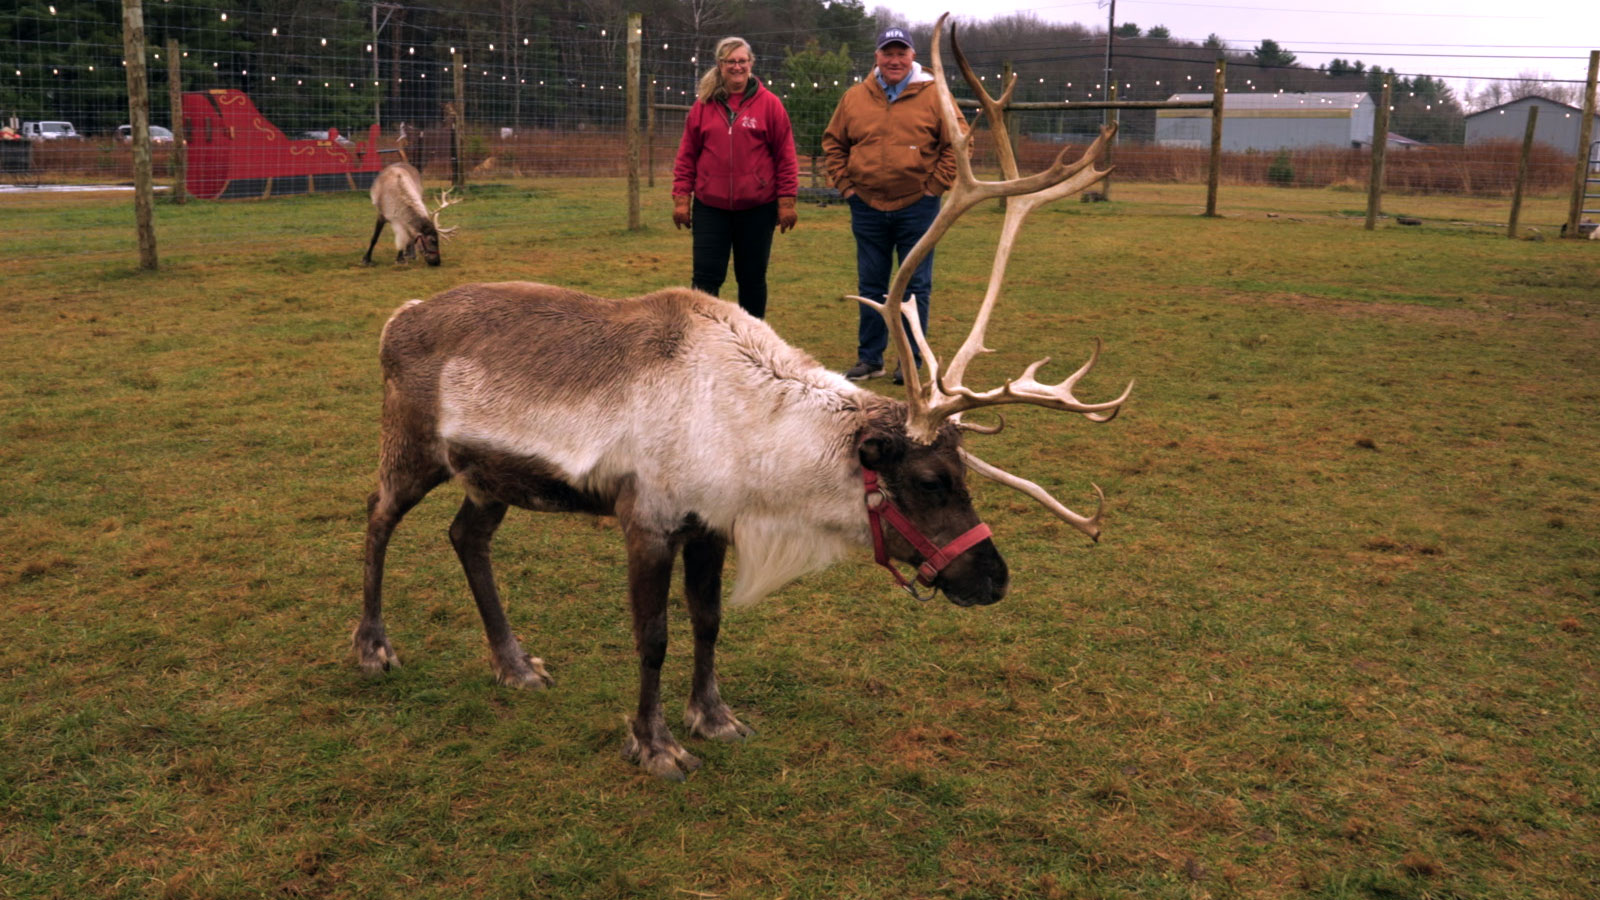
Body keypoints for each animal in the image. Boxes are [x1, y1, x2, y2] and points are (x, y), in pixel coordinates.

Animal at [354, 13, 1130, 780]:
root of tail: (399, 318)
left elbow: (708, 621)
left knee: (466, 537)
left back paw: (515, 665)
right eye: (932, 480)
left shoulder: (711, 524)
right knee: (378, 514)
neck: (752, 439)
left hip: (489, 474)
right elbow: (654, 636)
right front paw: (654, 744)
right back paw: (373, 647)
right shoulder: (648, 519)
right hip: (413, 444)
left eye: (964, 472)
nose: (994, 578)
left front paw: (714, 717)